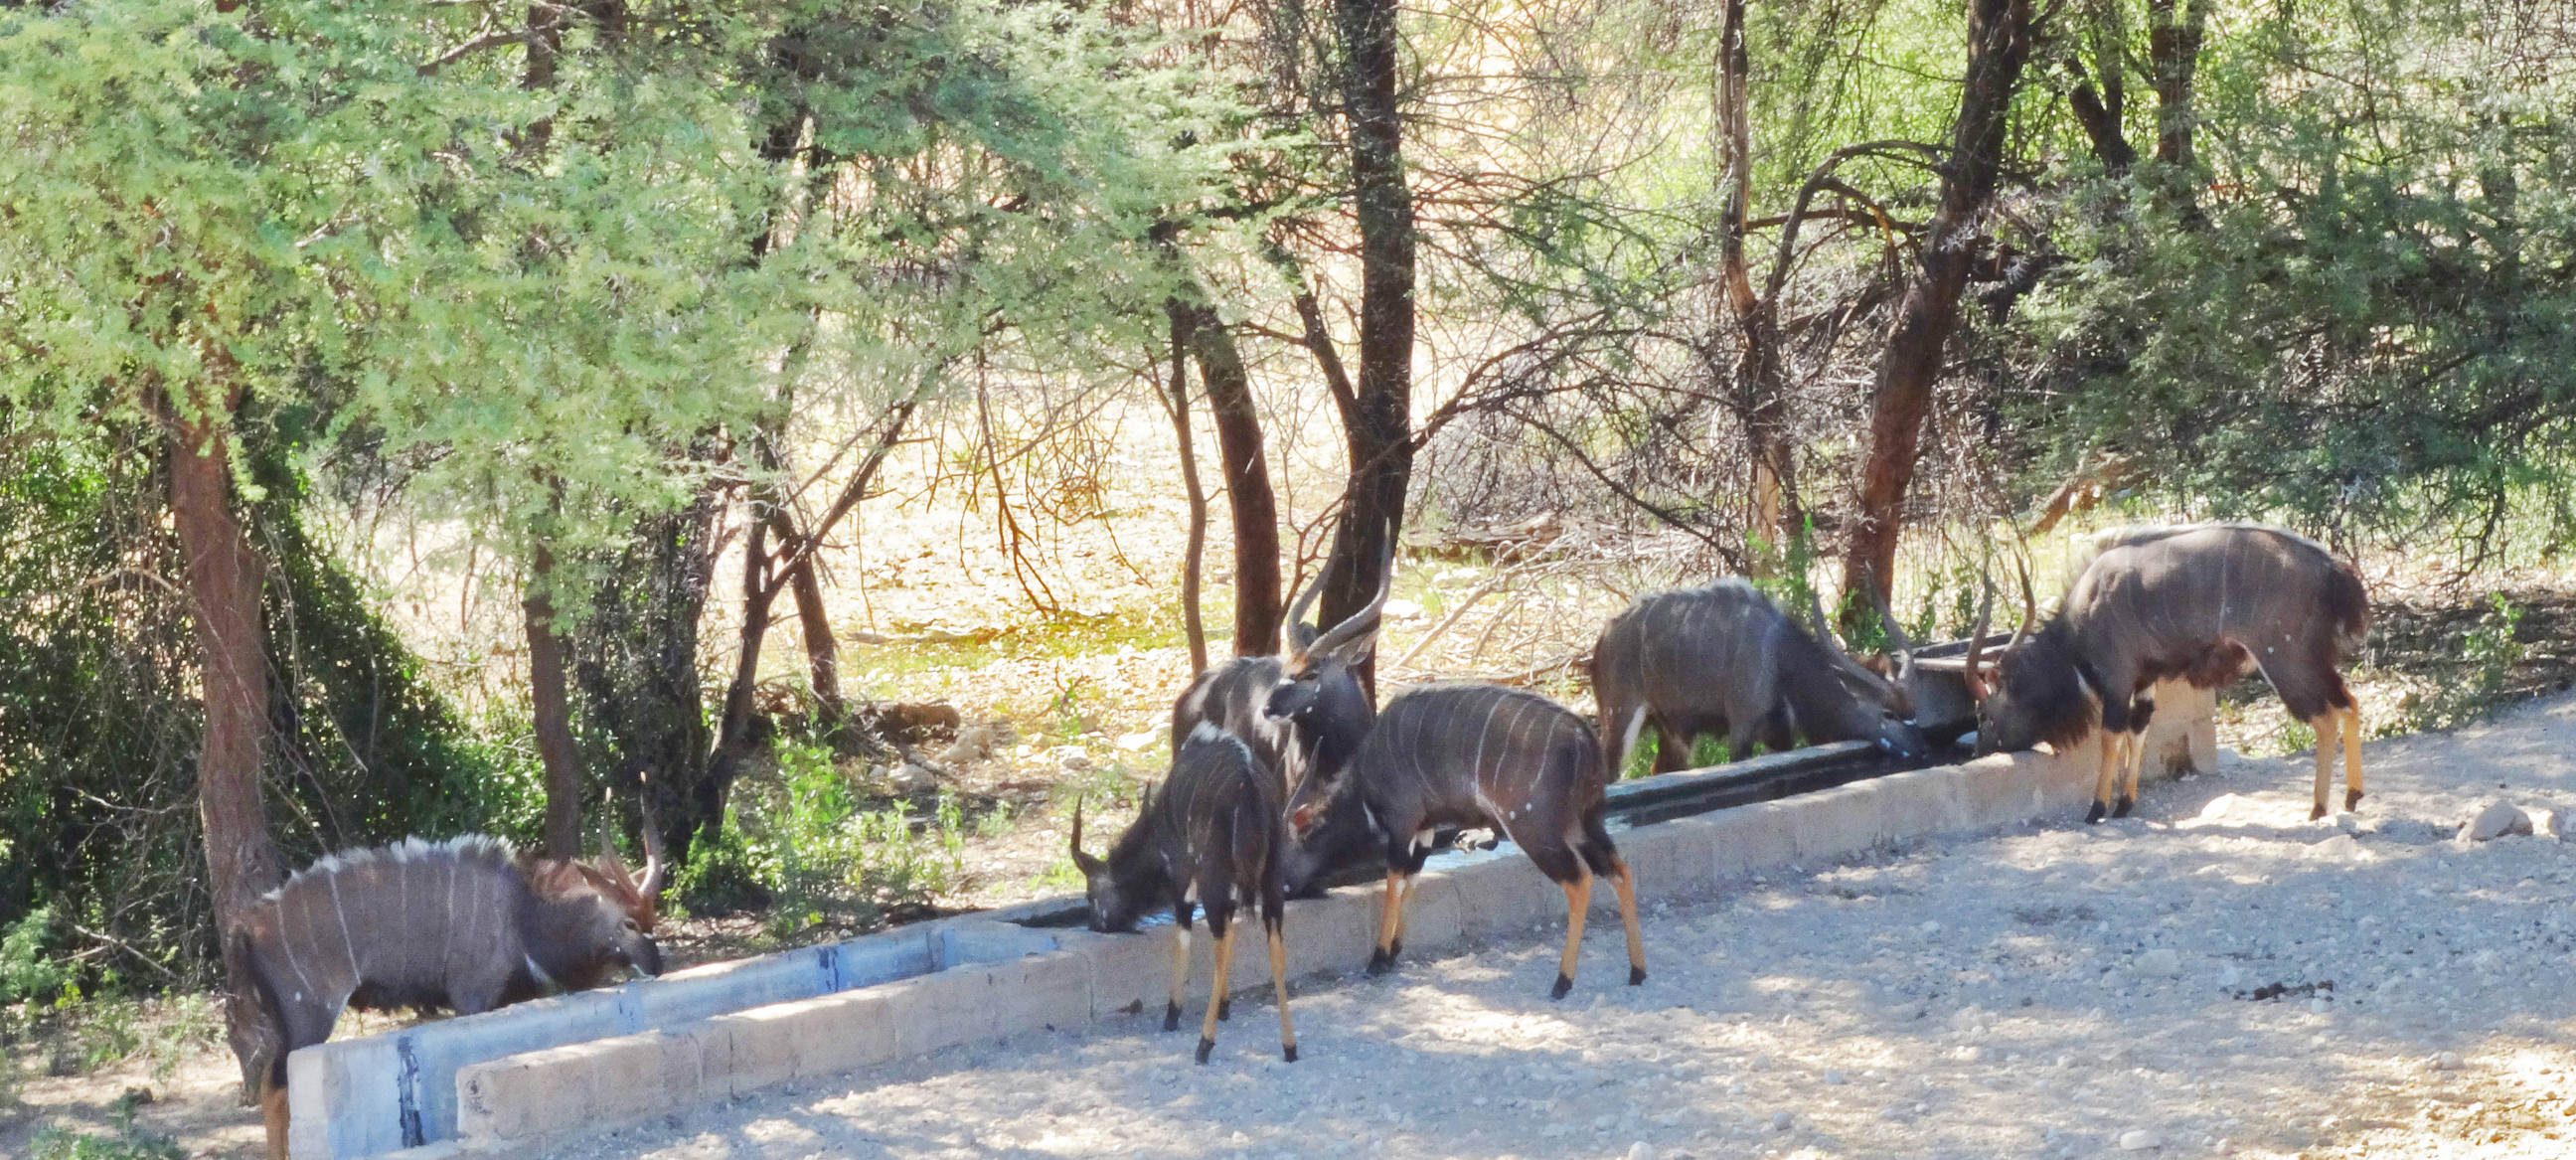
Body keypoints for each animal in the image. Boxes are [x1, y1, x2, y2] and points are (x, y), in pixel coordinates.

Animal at [1071, 732, 1298, 1067]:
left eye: (1089, 895)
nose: (1094, 926)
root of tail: (1248, 786)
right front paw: (1225, 1006)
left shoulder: (1184, 875)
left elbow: (1184, 935)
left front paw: (1173, 1013)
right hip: (1270, 878)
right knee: (1272, 942)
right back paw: (1289, 1047)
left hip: (1212, 874)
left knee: (1223, 939)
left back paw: (1204, 1044)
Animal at [1272, 685, 1648, 1000]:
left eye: (1295, 840)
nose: (1285, 887)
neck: (1365, 780)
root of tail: (1587, 742)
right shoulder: (1424, 828)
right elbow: (1412, 877)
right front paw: (1394, 951)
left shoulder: (1402, 822)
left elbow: (1394, 881)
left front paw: (1378, 959)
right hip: (1586, 825)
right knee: (1619, 869)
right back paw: (1637, 971)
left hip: (1535, 829)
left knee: (1580, 880)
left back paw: (1562, 982)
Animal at [1586, 580, 1937, 778]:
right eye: (1887, 714)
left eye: (1914, 711)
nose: (1922, 750)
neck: (1779, 655)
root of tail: (1604, 636)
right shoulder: (1741, 729)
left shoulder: (1780, 735)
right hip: (1620, 718)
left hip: (1673, 730)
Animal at [1968, 526, 2369, 824]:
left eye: (1984, 713)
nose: (1979, 750)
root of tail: (2331, 569)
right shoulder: (2146, 681)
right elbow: (2138, 731)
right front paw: (2124, 804)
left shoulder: (2117, 679)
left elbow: (2111, 737)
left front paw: (2097, 809)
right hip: (2312, 662)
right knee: (2348, 702)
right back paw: (2351, 797)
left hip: (2284, 661)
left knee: (2324, 718)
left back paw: (2317, 809)